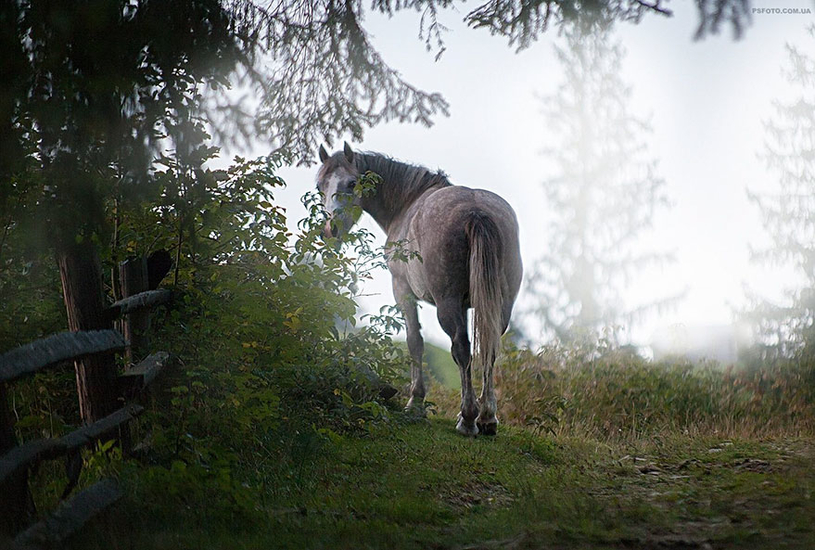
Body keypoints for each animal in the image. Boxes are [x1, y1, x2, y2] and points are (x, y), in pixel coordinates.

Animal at [318, 144, 524, 438]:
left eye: (351, 183)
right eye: (320, 186)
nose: (330, 230)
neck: (406, 204)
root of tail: (476, 211)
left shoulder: (402, 290)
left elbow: (415, 342)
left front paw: (415, 402)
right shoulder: (467, 306)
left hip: (447, 305)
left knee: (462, 348)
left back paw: (468, 419)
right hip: (500, 306)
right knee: (489, 349)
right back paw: (487, 418)